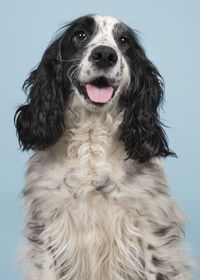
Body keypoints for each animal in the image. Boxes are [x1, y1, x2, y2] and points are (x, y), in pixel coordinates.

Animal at [14, 14, 194, 280]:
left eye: (124, 41)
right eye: (80, 35)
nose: (105, 55)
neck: (92, 139)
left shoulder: (153, 230)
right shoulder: (46, 229)